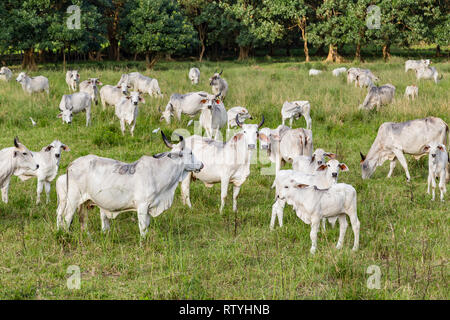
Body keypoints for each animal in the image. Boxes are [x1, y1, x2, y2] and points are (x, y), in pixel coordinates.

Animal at [55, 131, 203, 236]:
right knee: (66, 218)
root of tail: (73, 163)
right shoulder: (142, 206)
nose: (201, 164)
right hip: (72, 200)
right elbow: (143, 229)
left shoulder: (149, 208)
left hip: (84, 202)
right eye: (190, 152)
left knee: (82, 220)